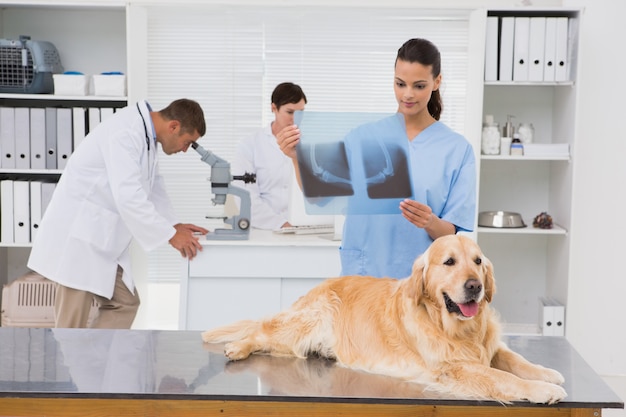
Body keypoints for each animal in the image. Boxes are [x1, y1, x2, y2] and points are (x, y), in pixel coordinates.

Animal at [200, 234, 564, 404]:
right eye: (449, 262)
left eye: (477, 261)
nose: (475, 286)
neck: (456, 327)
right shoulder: (453, 368)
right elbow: (504, 378)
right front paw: (542, 390)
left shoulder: (489, 347)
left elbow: (515, 360)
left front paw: (547, 373)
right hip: (305, 322)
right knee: (261, 330)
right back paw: (237, 347)